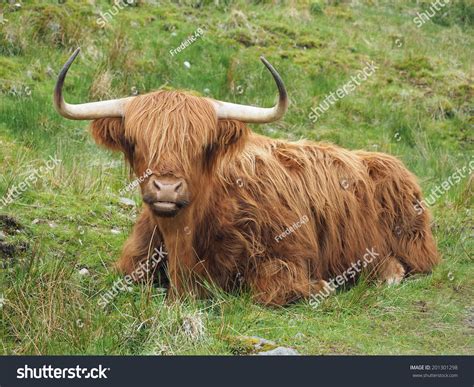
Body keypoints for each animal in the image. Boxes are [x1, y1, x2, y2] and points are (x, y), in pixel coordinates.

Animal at [53, 47, 438, 306]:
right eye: (135, 141)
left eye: (203, 145)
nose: (166, 188)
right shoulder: (133, 263)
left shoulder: (287, 255)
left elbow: (272, 289)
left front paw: (323, 287)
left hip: (413, 242)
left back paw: (385, 273)